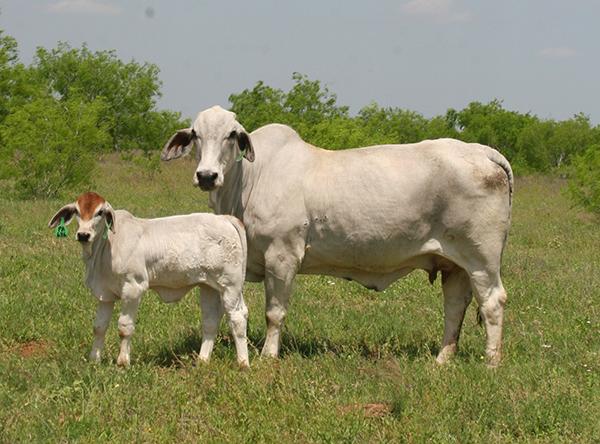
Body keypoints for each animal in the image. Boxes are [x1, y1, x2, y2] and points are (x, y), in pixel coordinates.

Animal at [47, 191, 251, 368]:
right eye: (77, 211)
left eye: (100, 212)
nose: (83, 235)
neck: (105, 248)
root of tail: (225, 218)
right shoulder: (105, 294)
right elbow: (99, 327)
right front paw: (94, 360)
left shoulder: (133, 288)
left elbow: (124, 327)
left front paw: (123, 362)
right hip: (208, 285)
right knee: (210, 321)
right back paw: (202, 361)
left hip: (230, 286)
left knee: (238, 317)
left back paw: (243, 364)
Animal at [162, 106, 512, 366]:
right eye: (195, 134)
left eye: (232, 135)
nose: (207, 176)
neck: (248, 181)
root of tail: (482, 151)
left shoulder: (282, 255)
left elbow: (274, 313)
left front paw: (268, 356)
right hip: (455, 263)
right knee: (455, 307)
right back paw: (442, 360)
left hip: (481, 258)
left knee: (492, 302)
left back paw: (491, 363)